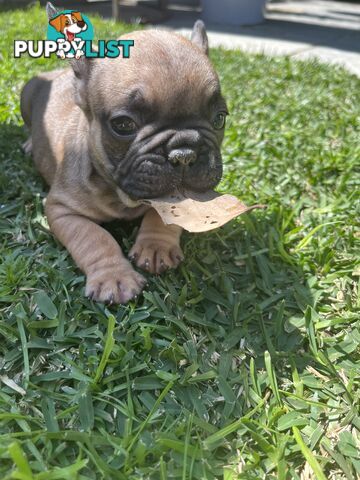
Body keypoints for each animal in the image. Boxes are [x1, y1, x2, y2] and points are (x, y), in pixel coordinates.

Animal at [20, 16, 228, 306]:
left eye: (220, 118)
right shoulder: (62, 209)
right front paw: (114, 277)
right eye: (123, 125)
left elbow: (162, 215)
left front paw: (156, 245)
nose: (184, 153)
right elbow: (94, 237)